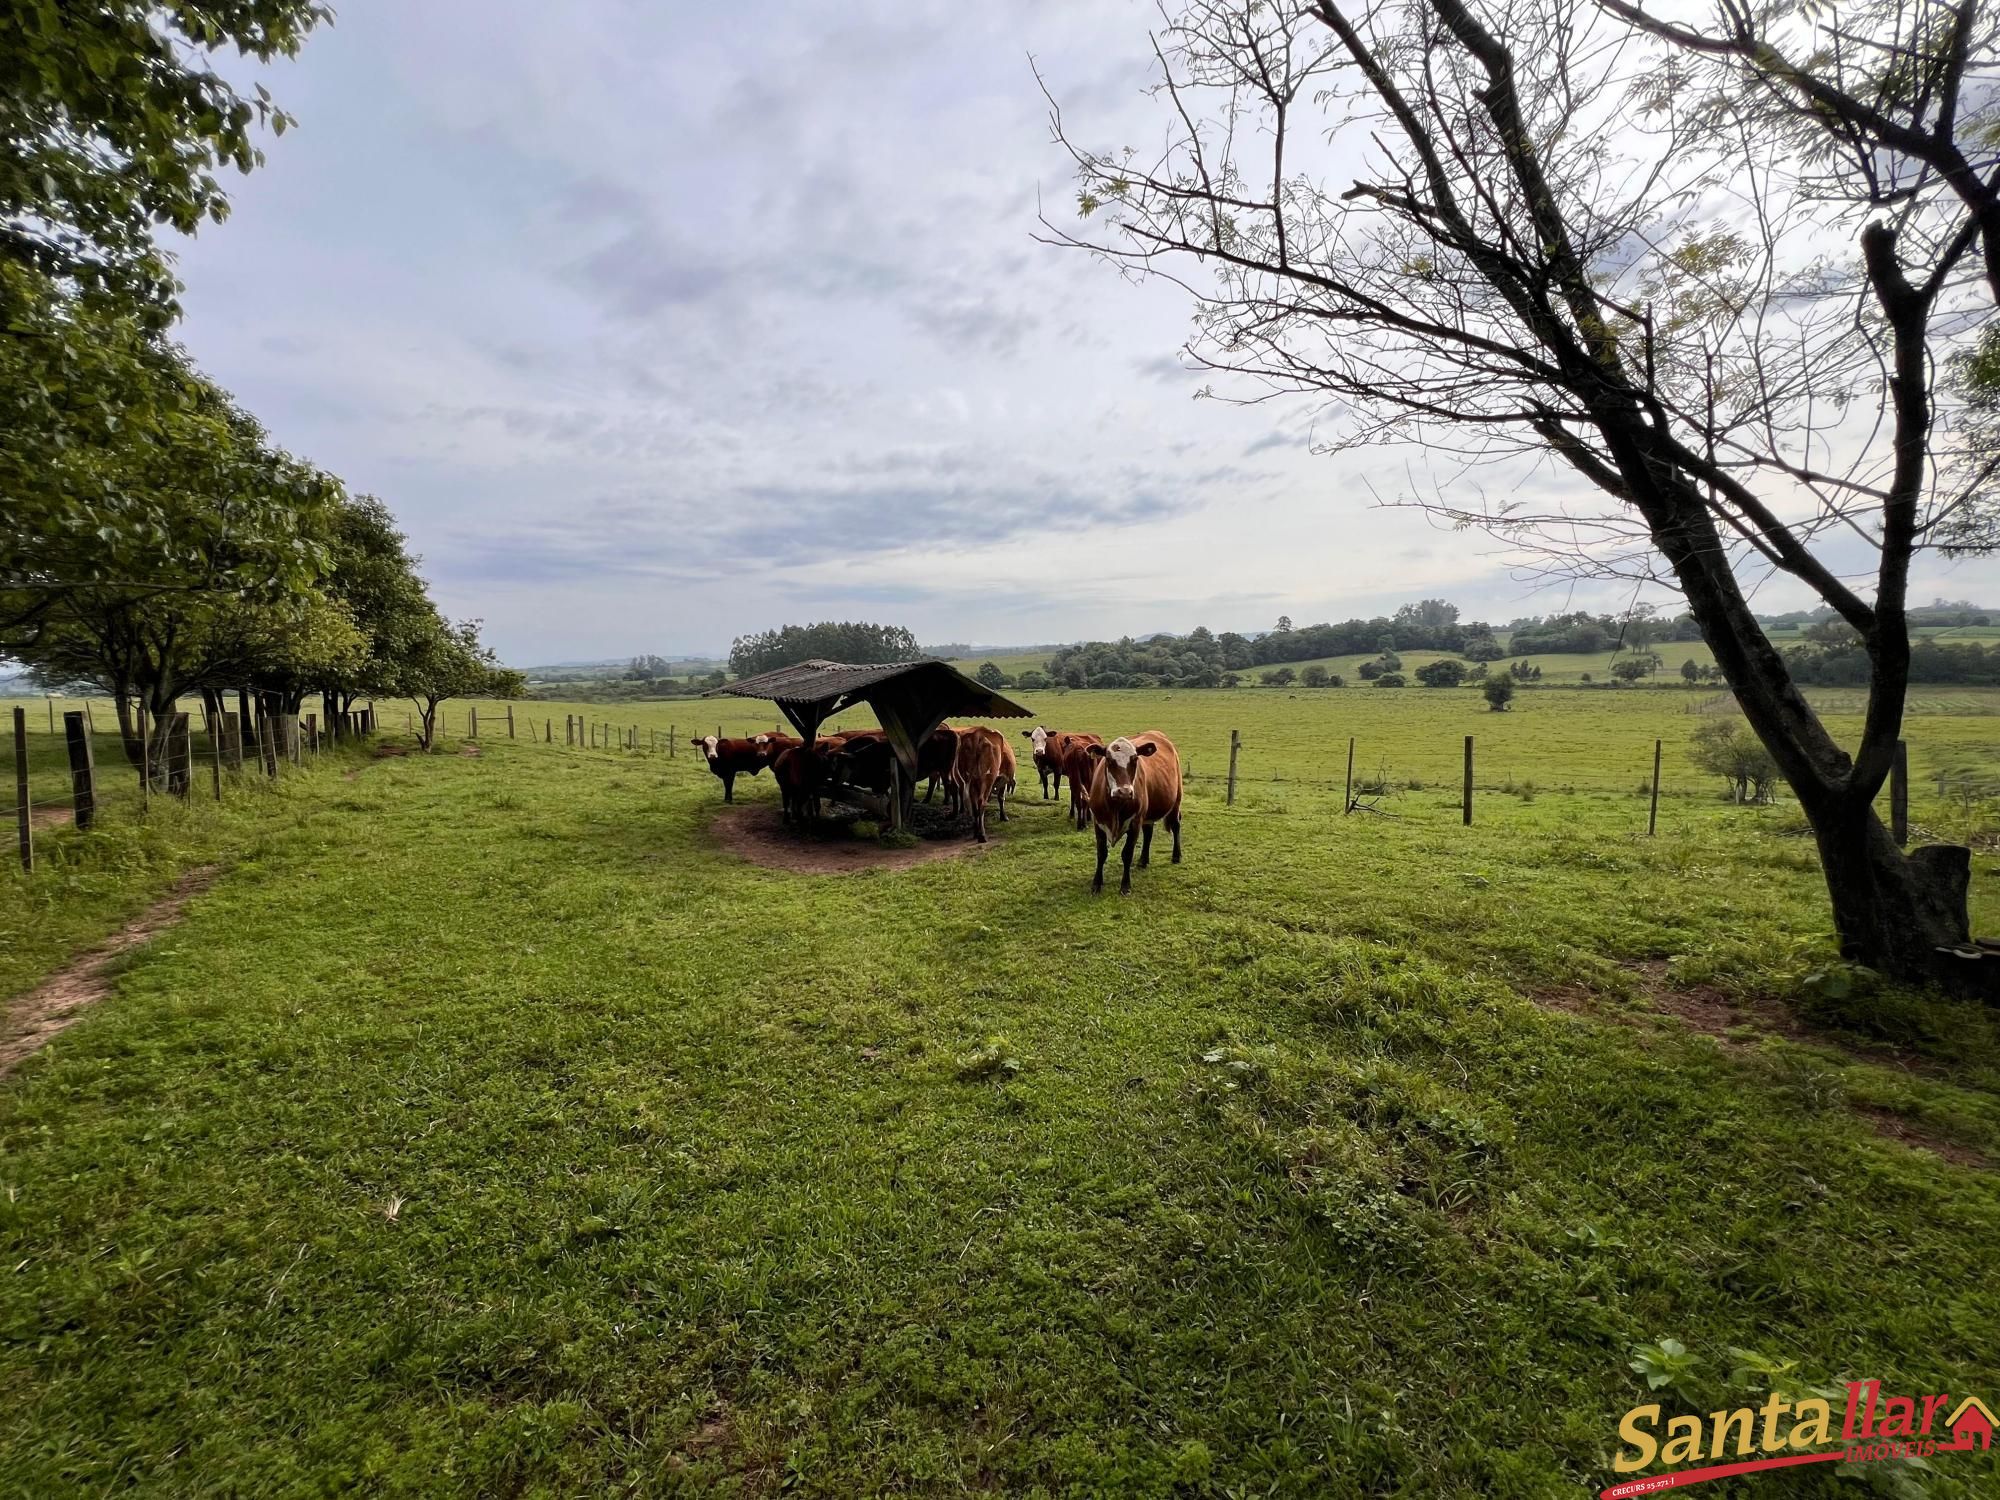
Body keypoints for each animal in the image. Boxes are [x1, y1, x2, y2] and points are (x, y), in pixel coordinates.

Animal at [712, 660, 1032, 836]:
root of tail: (951, 732)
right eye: (829, 764)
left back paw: (953, 811)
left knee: (953, 788)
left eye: (838, 764)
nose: (831, 781)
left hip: (946, 770)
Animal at [1088, 736, 1176, 900]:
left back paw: (1176, 856)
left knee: (1176, 825)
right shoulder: (1098, 822)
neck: (1115, 806)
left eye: (1135, 759)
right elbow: (1101, 853)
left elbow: (1127, 854)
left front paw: (1125, 885)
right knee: (1148, 833)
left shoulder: (1135, 823)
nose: (1124, 791)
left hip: (1175, 802)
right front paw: (1096, 883)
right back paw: (1143, 860)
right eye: (1109, 760)